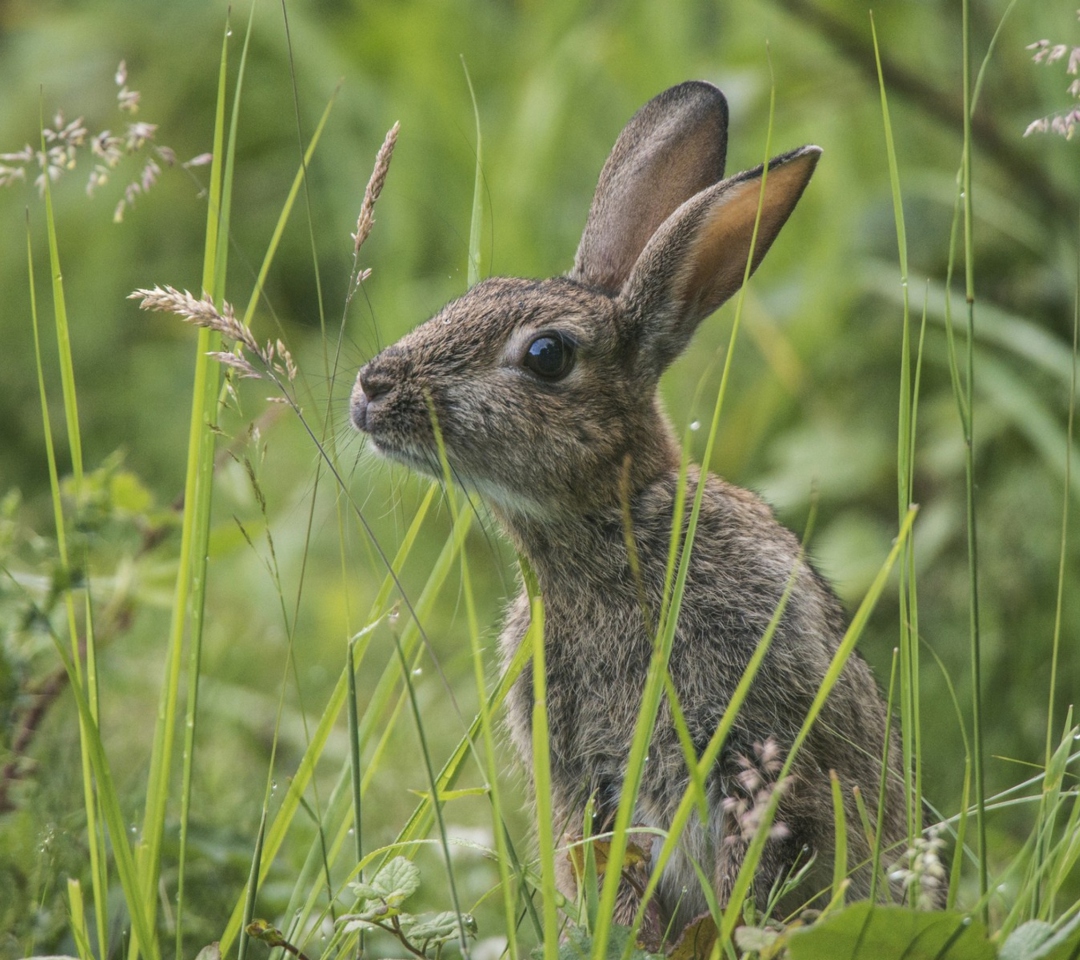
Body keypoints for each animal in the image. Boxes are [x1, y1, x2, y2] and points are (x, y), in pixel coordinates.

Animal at [352, 82, 920, 937]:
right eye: (470, 297)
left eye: (547, 355)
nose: (372, 389)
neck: (610, 532)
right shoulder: (583, 784)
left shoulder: (757, 745)